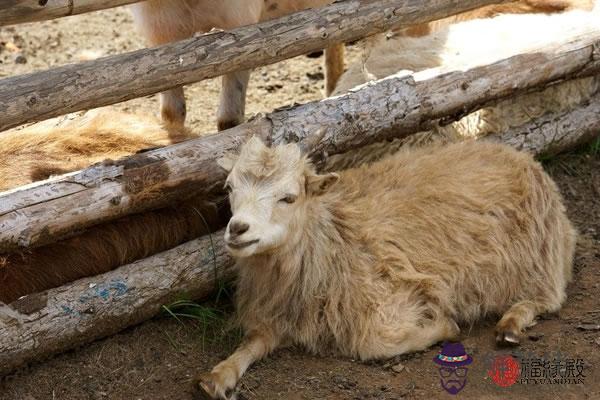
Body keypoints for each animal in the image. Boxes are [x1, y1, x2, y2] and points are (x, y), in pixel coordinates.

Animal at [198, 136, 576, 398]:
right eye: (229, 187)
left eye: (288, 197)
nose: (237, 229)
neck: (331, 239)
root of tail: (521, 156)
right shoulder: (279, 314)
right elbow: (251, 343)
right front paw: (218, 375)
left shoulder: (393, 298)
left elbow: (376, 345)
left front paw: (445, 327)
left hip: (540, 255)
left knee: (550, 298)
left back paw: (511, 322)